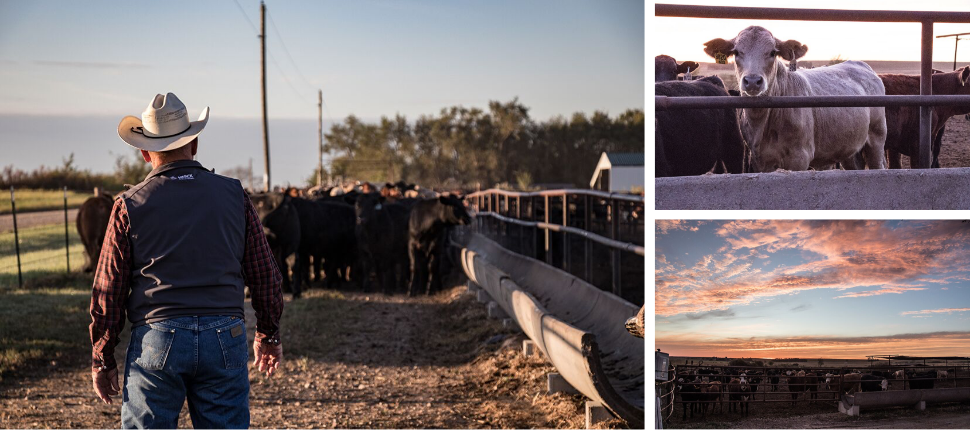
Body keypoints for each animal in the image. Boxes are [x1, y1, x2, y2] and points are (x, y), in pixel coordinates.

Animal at [704, 25, 884, 171]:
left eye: (772, 52)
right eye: (736, 52)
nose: (753, 81)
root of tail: (860, 64)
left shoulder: (799, 158)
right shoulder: (760, 160)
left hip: (876, 137)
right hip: (849, 148)